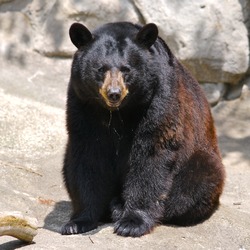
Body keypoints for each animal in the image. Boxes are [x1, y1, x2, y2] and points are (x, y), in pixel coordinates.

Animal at [61, 21, 225, 236]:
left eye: (126, 69)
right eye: (100, 69)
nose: (114, 93)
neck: (118, 112)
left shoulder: (159, 99)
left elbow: (151, 154)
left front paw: (132, 222)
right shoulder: (82, 103)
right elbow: (87, 156)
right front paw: (77, 222)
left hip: (200, 159)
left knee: (193, 186)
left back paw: (119, 206)